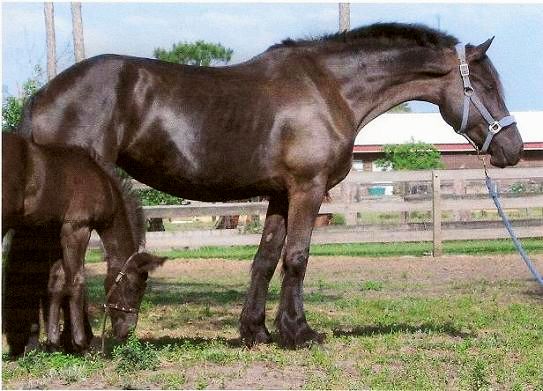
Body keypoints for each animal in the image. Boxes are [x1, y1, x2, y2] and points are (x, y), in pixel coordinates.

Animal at [2, 134, 166, 356]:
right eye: (135, 287)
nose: (127, 332)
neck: (102, 182)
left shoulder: (55, 231)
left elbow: (57, 281)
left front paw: (53, 343)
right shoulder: (77, 229)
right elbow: (76, 280)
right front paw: (81, 344)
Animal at [19, 23, 524, 350]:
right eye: (485, 86)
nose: (514, 149)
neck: (329, 88)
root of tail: (43, 97)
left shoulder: (280, 194)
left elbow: (264, 260)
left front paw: (256, 332)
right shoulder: (307, 189)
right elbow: (297, 258)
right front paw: (299, 333)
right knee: (63, 268)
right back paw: (74, 342)